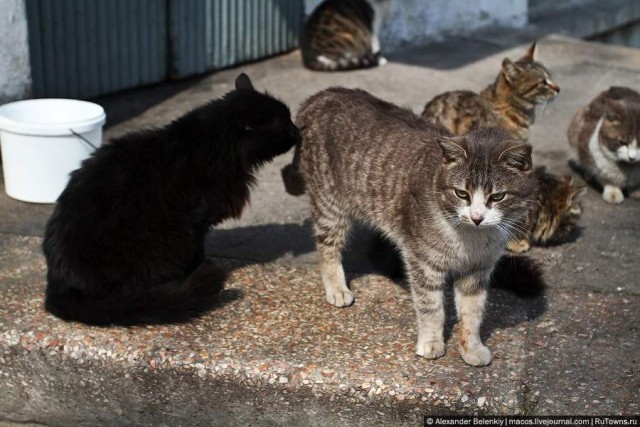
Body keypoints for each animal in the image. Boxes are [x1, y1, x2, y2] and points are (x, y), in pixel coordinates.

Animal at [43, 74, 298, 328]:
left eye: (290, 119)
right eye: (284, 124)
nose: (297, 131)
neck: (216, 147)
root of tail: (58, 284)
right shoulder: (197, 222)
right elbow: (198, 251)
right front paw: (196, 270)